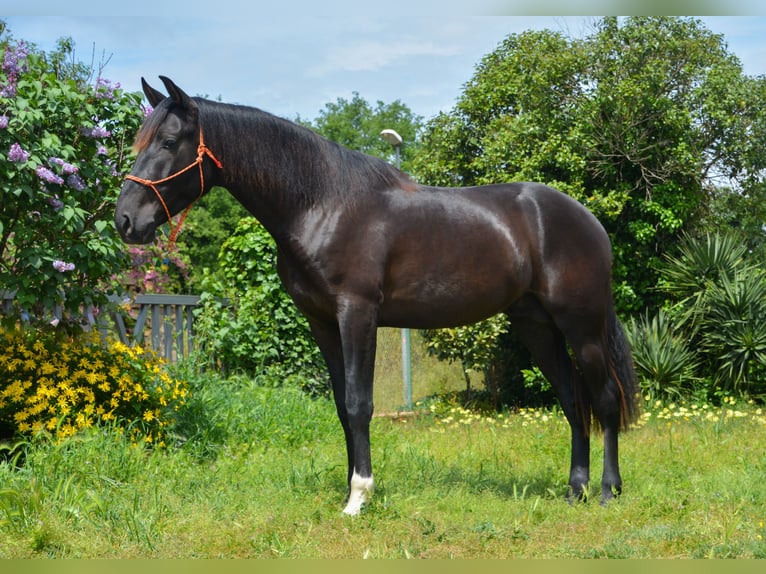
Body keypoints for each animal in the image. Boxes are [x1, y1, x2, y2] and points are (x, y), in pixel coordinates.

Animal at [114, 76, 639, 515]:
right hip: (536, 326)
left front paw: (359, 497)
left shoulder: (358, 314)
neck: (321, 203)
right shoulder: (323, 323)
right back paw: (574, 490)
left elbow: (358, 404)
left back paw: (608, 491)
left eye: (168, 142)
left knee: (604, 398)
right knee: (573, 400)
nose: (125, 220)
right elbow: (341, 407)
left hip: (581, 326)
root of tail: (588, 220)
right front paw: (352, 489)